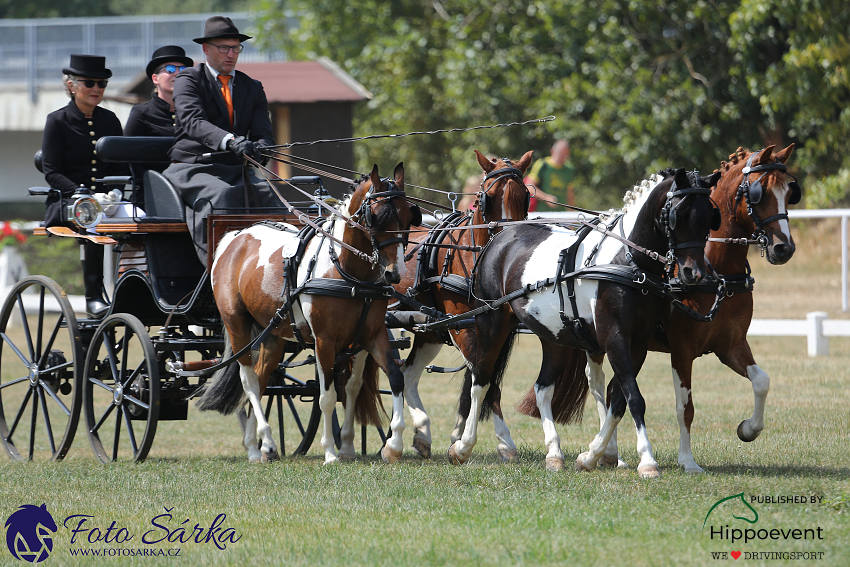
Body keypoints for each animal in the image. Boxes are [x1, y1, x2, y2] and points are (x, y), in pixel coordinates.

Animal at [200, 164, 424, 466]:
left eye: (408, 216)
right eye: (375, 217)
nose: (394, 273)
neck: (346, 271)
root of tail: (235, 237)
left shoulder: (371, 335)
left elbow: (389, 378)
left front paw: (392, 444)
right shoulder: (324, 341)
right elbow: (326, 396)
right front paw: (330, 452)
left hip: (273, 334)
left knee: (261, 378)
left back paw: (258, 446)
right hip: (236, 325)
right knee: (249, 382)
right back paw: (262, 443)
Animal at [450, 166, 716, 478]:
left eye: (710, 217)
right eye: (678, 214)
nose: (692, 274)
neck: (628, 263)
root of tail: (502, 235)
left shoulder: (637, 345)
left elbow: (619, 402)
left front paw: (591, 456)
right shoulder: (615, 339)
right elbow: (635, 399)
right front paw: (647, 461)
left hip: (554, 337)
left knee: (542, 389)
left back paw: (554, 453)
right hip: (492, 323)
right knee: (481, 379)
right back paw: (463, 447)